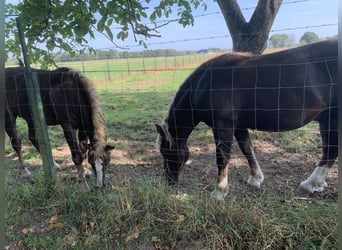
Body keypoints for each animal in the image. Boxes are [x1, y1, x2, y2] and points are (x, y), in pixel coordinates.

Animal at [156, 40, 338, 200]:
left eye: (166, 152)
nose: (169, 182)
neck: (205, 84)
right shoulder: (239, 126)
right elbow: (247, 149)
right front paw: (256, 178)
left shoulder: (223, 126)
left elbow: (222, 157)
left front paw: (219, 192)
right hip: (327, 120)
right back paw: (316, 183)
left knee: (331, 151)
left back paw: (311, 183)